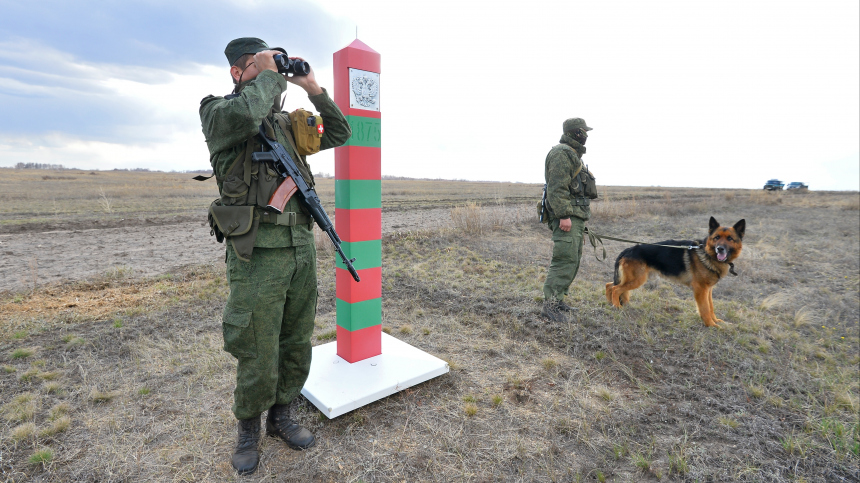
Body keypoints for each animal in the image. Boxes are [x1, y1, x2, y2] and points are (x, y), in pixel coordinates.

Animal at [608, 218, 744, 328]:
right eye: (716, 238)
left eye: (730, 239)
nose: (720, 249)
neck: (706, 253)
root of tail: (628, 249)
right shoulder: (701, 289)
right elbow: (705, 309)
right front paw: (711, 325)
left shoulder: (708, 289)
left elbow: (711, 307)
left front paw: (715, 321)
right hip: (637, 280)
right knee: (615, 288)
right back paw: (617, 306)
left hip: (629, 279)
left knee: (609, 285)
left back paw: (611, 303)